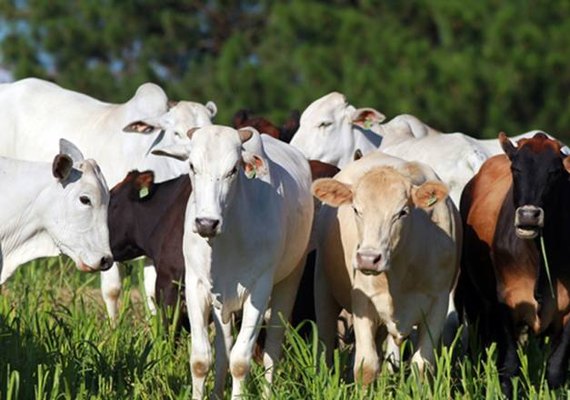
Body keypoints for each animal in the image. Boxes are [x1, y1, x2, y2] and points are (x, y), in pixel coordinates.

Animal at [151, 126, 312, 400]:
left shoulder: (259, 290)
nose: (206, 223)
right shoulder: (196, 286)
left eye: (233, 169)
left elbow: (240, 361)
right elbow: (202, 359)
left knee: (272, 349)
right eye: (192, 166)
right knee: (223, 348)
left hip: (290, 280)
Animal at [310, 152, 458, 382]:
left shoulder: (438, 303)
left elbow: (421, 366)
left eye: (402, 212)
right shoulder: (362, 300)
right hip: (323, 287)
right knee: (325, 340)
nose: (368, 258)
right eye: (356, 209)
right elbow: (366, 366)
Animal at [454, 133, 570, 396]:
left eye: (555, 172)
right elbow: (509, 367)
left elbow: (555, 370)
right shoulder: (506, 304)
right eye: (516, 169)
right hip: (472, 298)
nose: (528, 216)